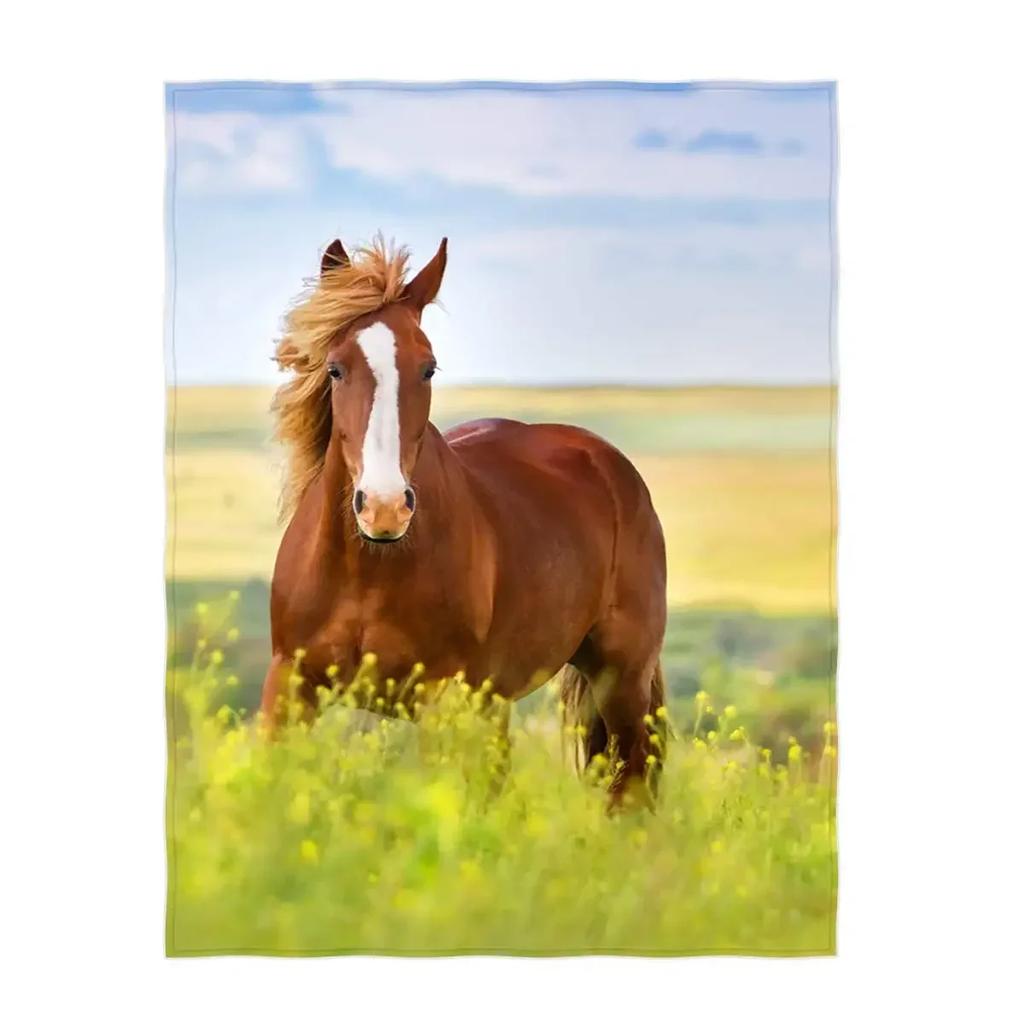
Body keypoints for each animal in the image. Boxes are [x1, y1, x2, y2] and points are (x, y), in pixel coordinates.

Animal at [262, 235, 668, 803]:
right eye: (336, 369)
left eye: (428, 368)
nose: (384, 508)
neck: (369, 569)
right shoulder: (289, 686)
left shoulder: (440, 699)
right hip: (497, 702)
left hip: (622, 680)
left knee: (629, 786)